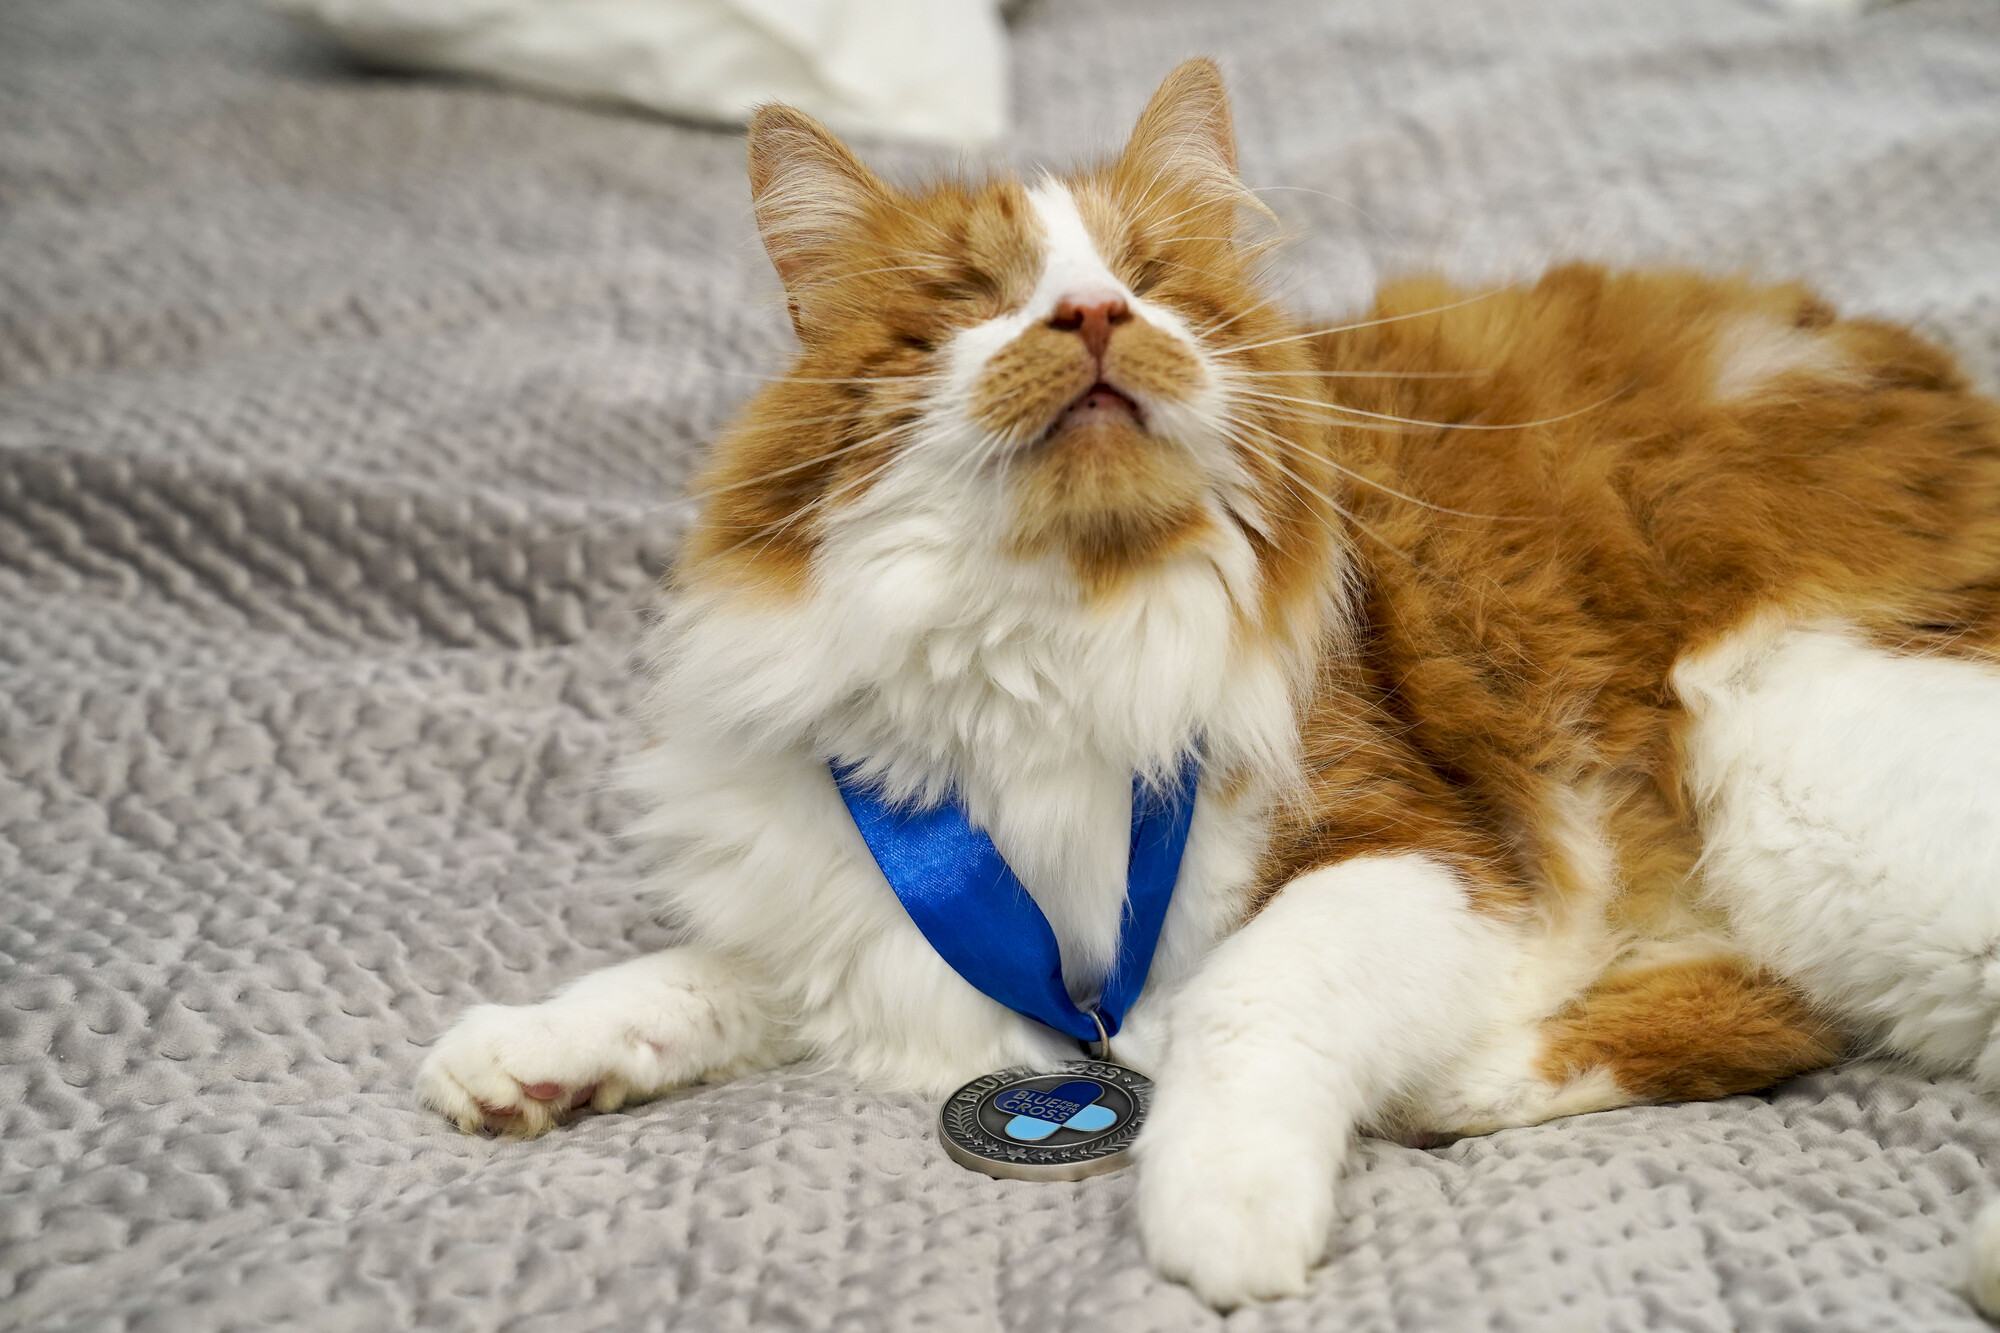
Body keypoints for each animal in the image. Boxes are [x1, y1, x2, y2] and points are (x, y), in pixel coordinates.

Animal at [414, 62, 2000, 1304]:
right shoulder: (853, 906)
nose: (1094, 315)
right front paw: (532, 1052)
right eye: (979, 301)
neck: (1053, 634)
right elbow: (697, 977)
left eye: (1152, 284)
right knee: (1767, 1011)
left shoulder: (1415, 850)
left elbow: (1250, 1000)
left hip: (1798, 776)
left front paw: (1217, 1204)